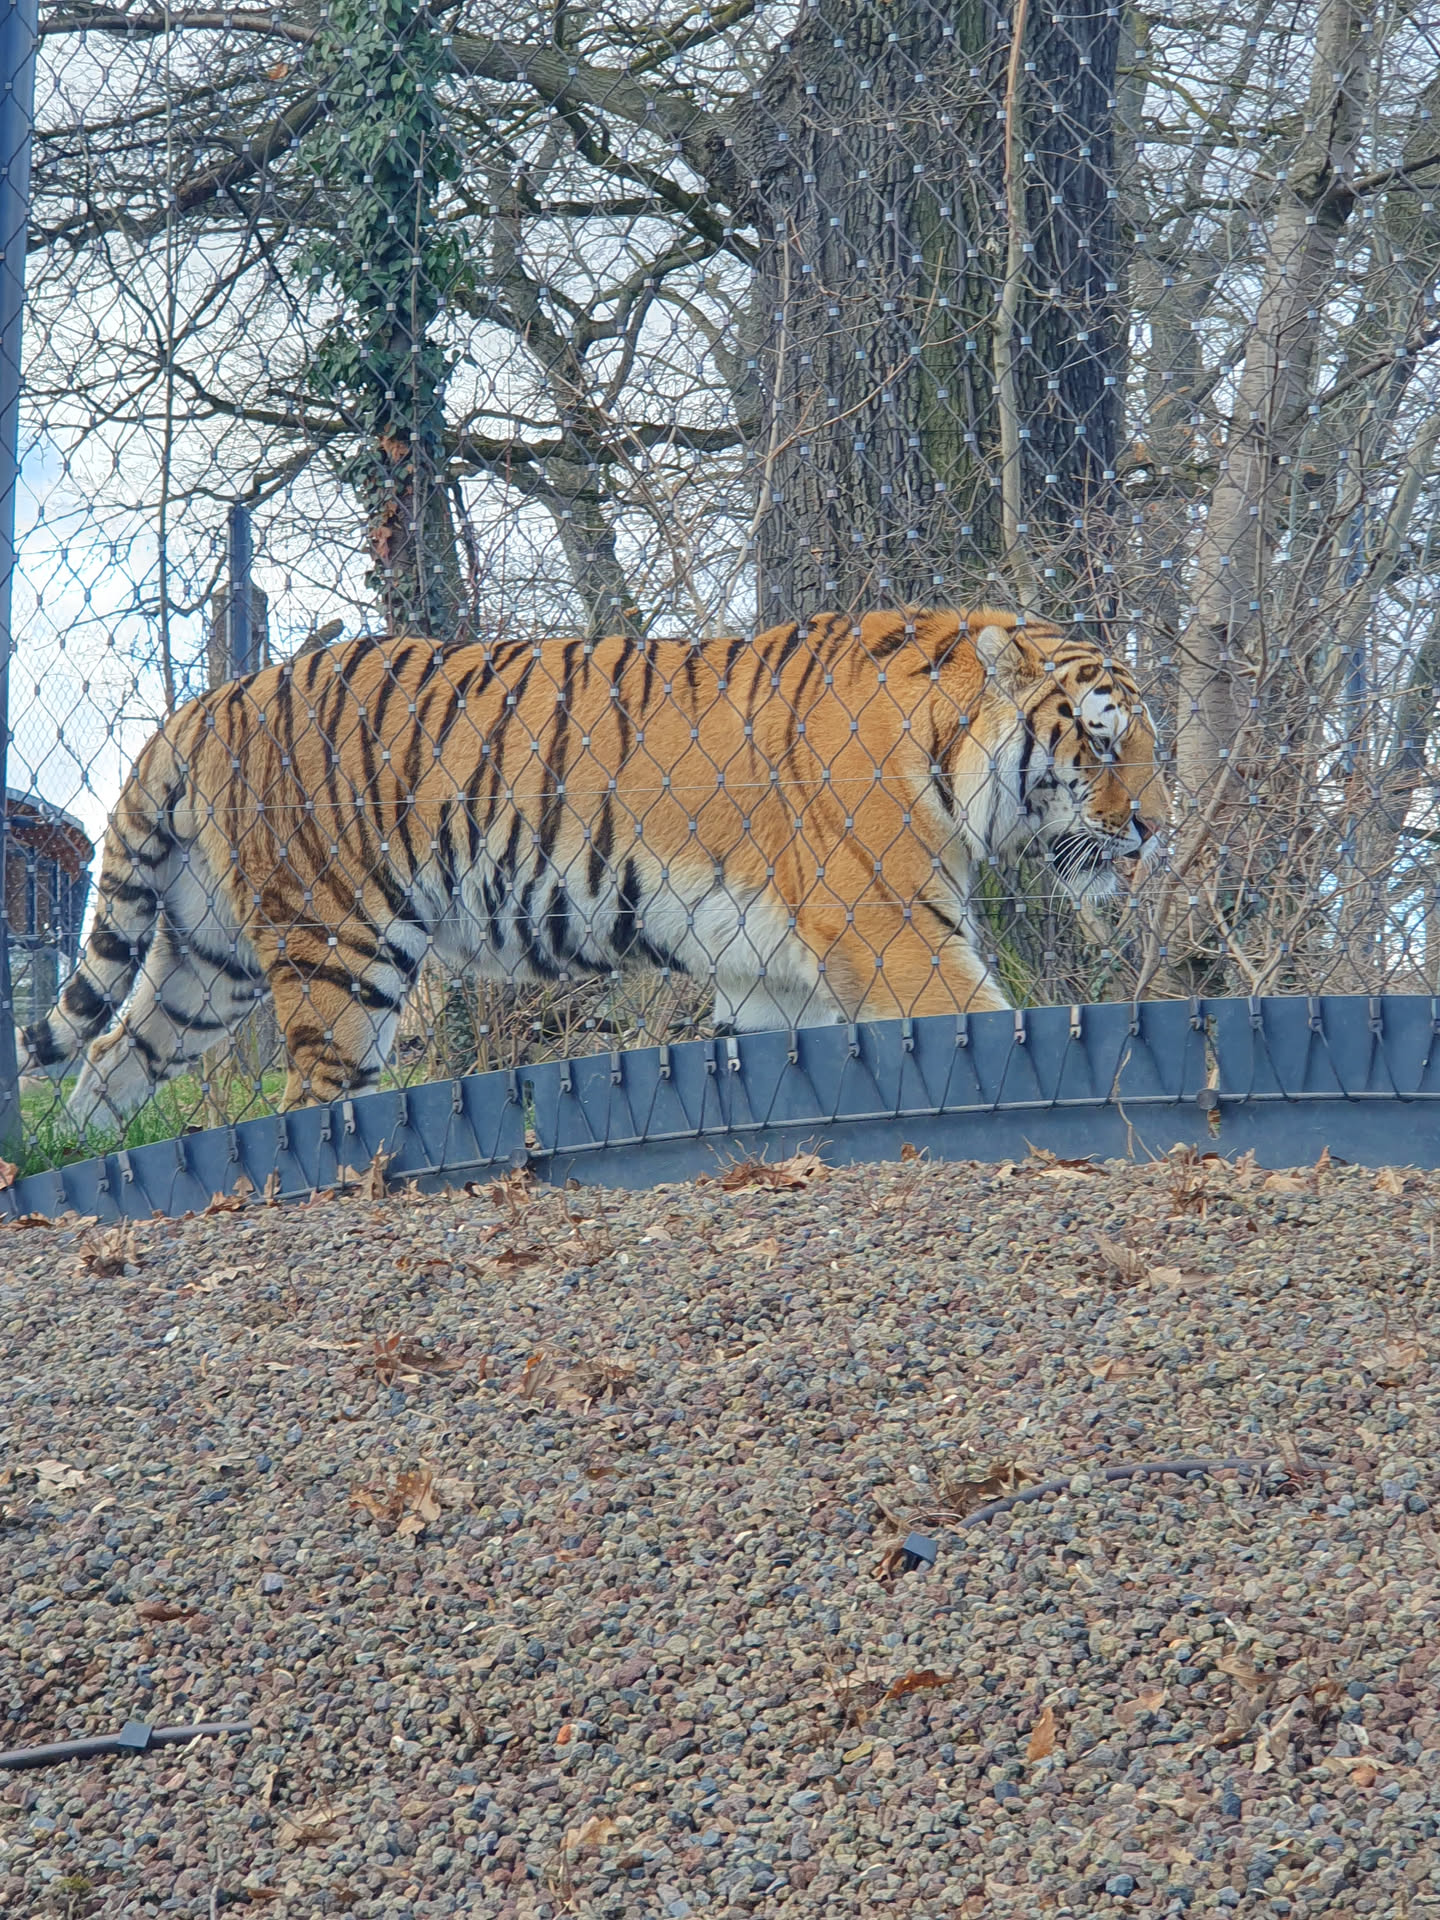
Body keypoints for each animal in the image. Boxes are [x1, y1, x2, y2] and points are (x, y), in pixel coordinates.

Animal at [18, 606, 1166, 1127]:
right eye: (1104, 741)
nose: (1158, 826)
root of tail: (210, 702)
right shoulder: (894, 932)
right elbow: (985, 1022)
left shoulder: (769, 975)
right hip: (338, 948)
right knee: (310, 1094)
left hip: (208, 957)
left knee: (114, 1053)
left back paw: (78, 1157)